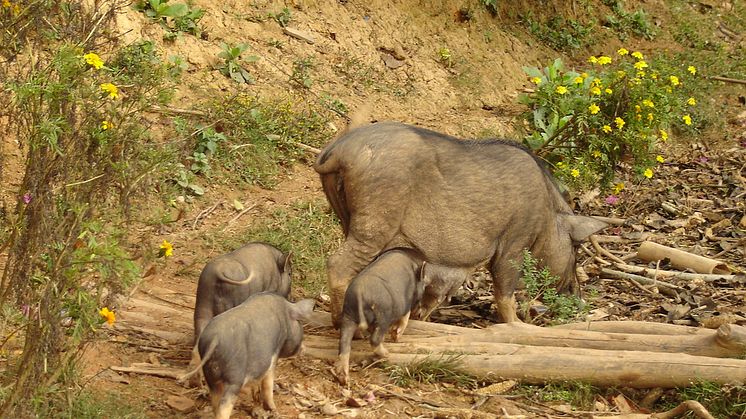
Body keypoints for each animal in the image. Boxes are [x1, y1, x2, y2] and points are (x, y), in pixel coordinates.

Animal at [186, 292, 316, 419]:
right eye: (300, 323)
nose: (304, 348)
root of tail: (215, 339)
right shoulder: (273, 355)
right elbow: (268, 383)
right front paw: (273, 409)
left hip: (211, 376)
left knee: (215, 401)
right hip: (234, 379)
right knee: (224, 407)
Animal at [310, 121, 608, 328]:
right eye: (576, 247)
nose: (577, 296)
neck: (548, 216)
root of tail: (338, 150)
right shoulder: (514, 241)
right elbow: (504, 290)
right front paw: (517, 325)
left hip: (345, 214)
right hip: (375, 221)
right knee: (338, 263)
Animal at [334, 249, 428, 388]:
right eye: (425, 286)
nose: (421, 312)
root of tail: (360, 293)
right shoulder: (406, 303)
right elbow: (405, 317)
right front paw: (396, 337)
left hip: (348, 315)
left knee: (344, 344)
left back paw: (344, 380)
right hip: (383, 316)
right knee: (375, 339)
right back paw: (386, 354)